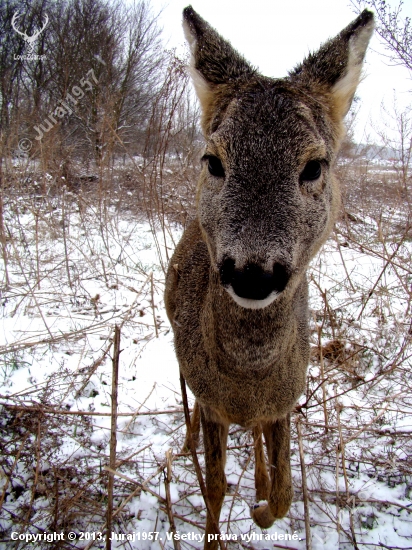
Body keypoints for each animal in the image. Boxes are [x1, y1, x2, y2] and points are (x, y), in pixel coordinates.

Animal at [164, 6, 374, 548]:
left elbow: (284, 494)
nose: (253, 273)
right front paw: (219, 529)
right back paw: (188, 444)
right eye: (213, 161)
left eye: (315, 166)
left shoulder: (284, 403)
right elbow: (216, 487)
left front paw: (260, 508)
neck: (247, 380)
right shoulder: (214, 403)